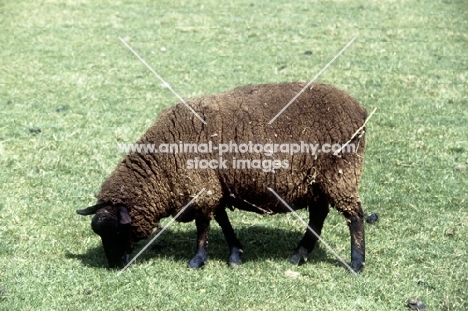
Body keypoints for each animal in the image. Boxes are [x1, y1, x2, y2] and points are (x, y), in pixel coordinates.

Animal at [77, 82, 368, 272]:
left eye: (117, 230)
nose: (114, 266)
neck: (161, 166)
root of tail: (359, 110)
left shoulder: (203, 190)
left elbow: (203, 226)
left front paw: (197, 260)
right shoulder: (215, 188)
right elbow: (222, 221)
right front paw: (235, 255)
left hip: (341, 175)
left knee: (354, 216)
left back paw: (356, 262)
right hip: (318, 182)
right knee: (319, 216)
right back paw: (299, 255)